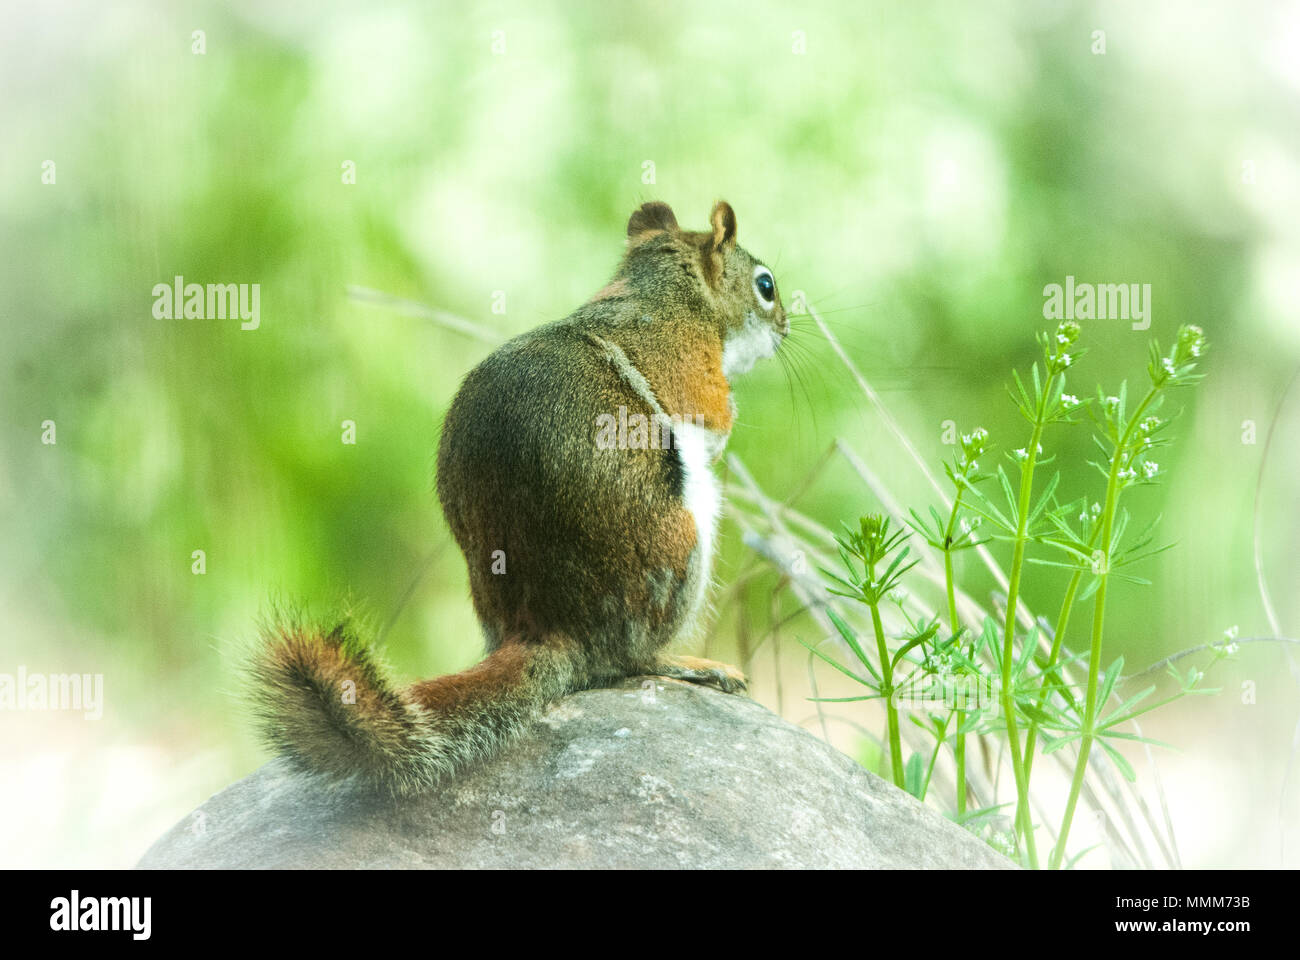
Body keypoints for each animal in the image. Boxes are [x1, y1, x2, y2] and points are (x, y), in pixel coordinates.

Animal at [248, 200, 785, 790]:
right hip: (681, 542)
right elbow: (714, 417)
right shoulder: (689, 366)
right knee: (628, 661)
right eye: (765, 285)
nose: (786, 327)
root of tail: (550, 629)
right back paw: (690, 665)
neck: (662, 290)